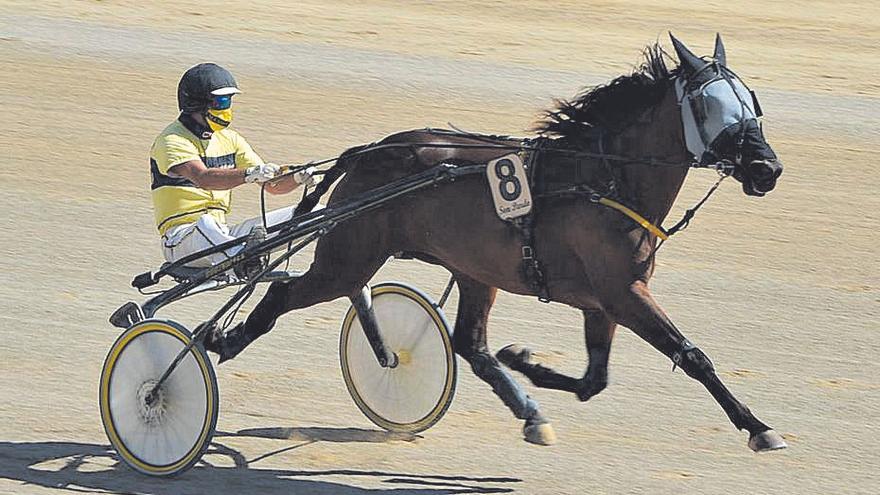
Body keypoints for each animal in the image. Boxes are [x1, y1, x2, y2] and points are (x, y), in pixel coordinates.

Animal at [210, 34, 788, 454]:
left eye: (751, 101)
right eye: (710, 106)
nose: (767, 168)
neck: (604, 179)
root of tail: (370, 150)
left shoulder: (604, 300)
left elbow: (594, 379)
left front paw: (525, 360)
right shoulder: (623, 293)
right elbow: (692, 356)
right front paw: (758, 427)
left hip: (472, 270)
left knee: (470, 344)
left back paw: (529, 412)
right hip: (349, 259)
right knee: (285, 293)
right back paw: (224, 341)